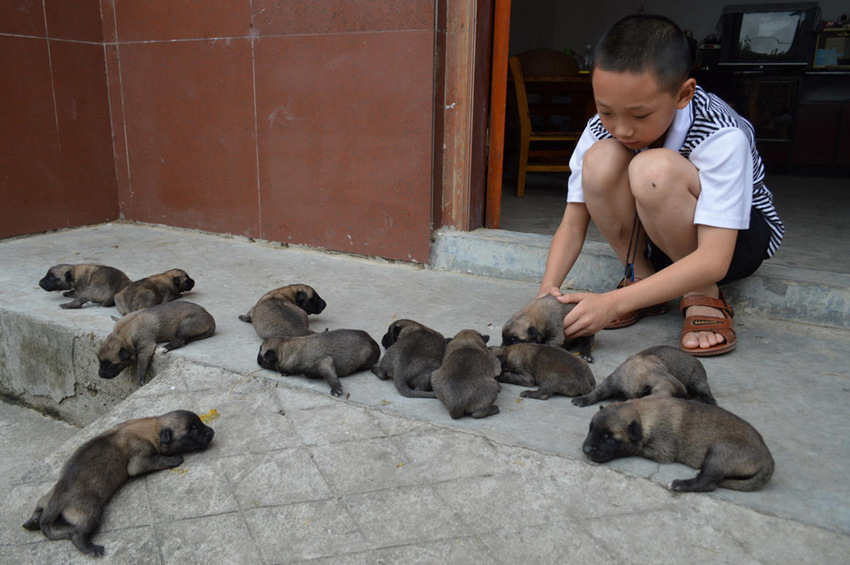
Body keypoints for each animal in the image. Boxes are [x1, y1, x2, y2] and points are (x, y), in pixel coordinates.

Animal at [22, 410, 214, 556]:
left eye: (200, 423)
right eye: (192, 430)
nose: (211, 432)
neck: (153, 427)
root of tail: (57, 499)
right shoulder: (139, 460)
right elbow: (156, 460)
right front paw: (175, 459)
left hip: (47, 497)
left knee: (40, 506)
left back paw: (32, 521)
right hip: (89, 511)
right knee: (78, 533)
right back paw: (90, 547)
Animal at [580, 394, 772, 492]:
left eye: (608, 437)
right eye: (590, 429)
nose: (586, 450)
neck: (642, 414)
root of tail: (768, 458)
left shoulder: (663, 451)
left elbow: (637, 448)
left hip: (719, 451)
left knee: (708, 483)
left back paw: (680, 484)